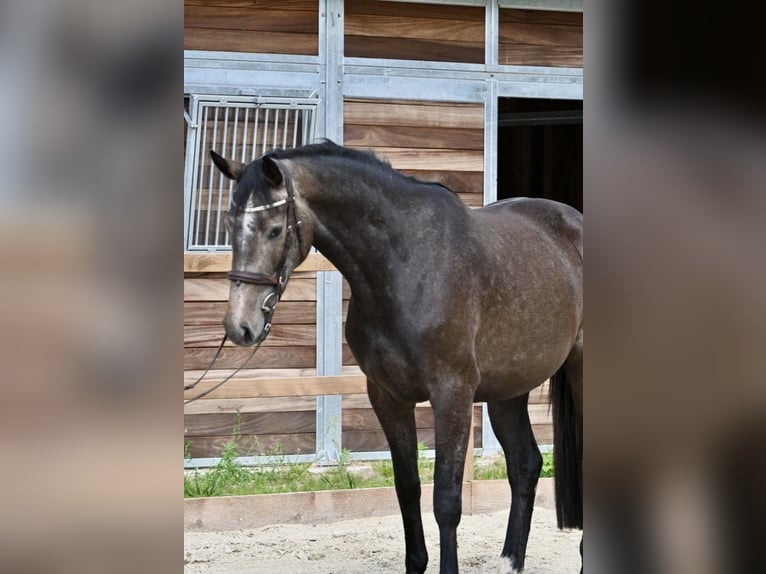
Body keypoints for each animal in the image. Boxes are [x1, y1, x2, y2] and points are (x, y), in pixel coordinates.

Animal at [210, 141, 584, 574]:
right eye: (230, 225)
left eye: (274, 229)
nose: (241, 325)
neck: (406, 265)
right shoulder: (388, 397)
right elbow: (407, 488)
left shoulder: (452, 395)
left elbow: (446, 500)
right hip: (508, 389)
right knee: (525, 465)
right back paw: (510, 561)